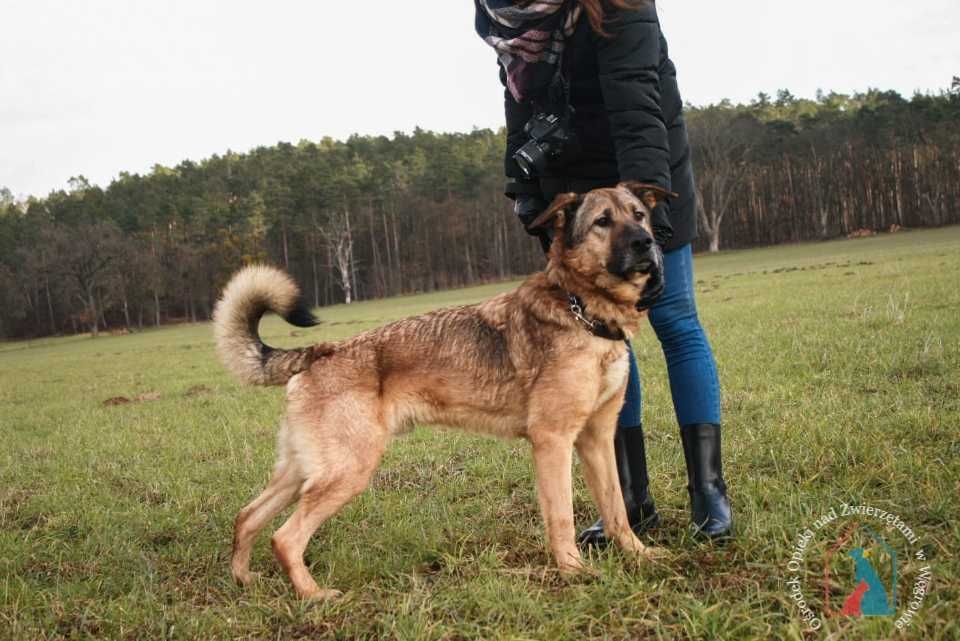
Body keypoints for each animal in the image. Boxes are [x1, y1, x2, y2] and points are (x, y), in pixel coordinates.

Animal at [214, 181, 672, 600]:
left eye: (638, 215)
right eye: (602, 222)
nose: (646, 243)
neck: (582, 309)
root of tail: (317, 353)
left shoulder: (597, 439)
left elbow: (617, 509)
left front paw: (639, 555)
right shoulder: (553, 442)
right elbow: (561, 516)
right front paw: (574, 573)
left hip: (303, 473)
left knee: (247, 517)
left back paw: (244, 580)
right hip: (346, 473)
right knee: (284, 537)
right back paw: (314, 596)